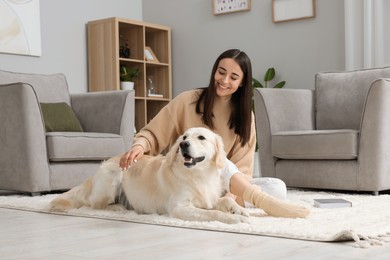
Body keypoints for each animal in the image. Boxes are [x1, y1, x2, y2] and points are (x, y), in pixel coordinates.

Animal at [48, 127, 248, 223]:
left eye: (201, 138)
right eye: (184, 138)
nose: (183, 145)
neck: (198, 175)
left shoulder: (209, 198)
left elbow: (225, 200)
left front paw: (239, 210)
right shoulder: (180, 207)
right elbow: (213, 214)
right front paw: (233, 218)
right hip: (112, 177)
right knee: (93, 205)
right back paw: (117, 208)